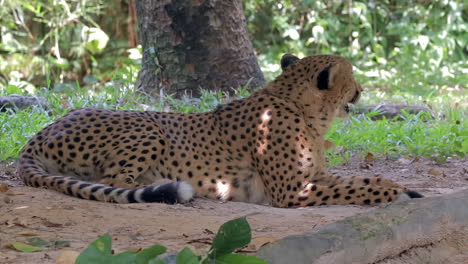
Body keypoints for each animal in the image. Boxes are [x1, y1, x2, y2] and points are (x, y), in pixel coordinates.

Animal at [17, 54, 424, 206]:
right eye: (351, 76)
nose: (360, 89)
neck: (300, 108)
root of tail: (41, 132)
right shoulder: (292, 192)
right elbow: (359, 187)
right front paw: (397, 192)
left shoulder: (313, 179)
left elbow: (356, 179)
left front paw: (399, 186)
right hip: (149, 127)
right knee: (114, 181)